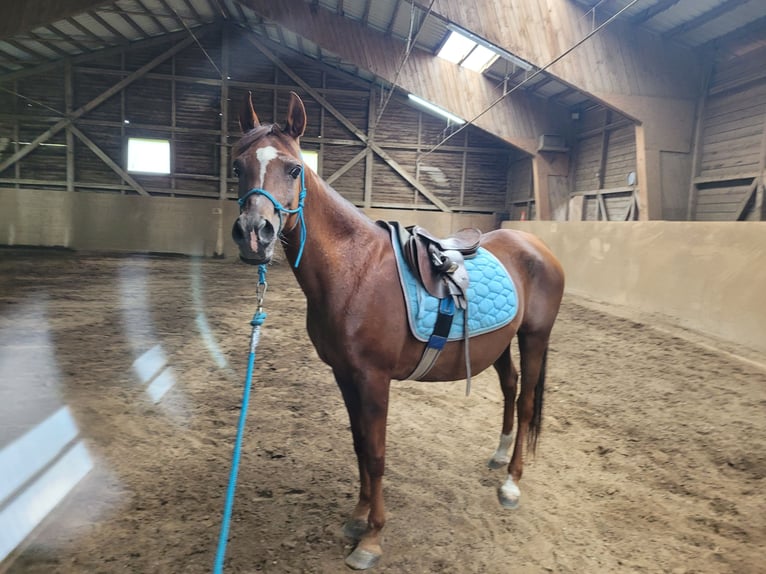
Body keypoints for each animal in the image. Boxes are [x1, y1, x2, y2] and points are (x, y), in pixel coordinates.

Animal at [230, 90, 565, 570]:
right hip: (501, 343)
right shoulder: (345, 374)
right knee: (511, 387)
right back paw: (499, 455)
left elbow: (376, 454)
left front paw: (371, 538)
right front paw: (356, 518)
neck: (355, 270)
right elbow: (358, 445)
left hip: (534, 337)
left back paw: (511, 483)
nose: (254, 234)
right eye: (238, 166)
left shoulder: (374, 379)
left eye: (294, 169)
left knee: (526, 402)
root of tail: (535, 245)